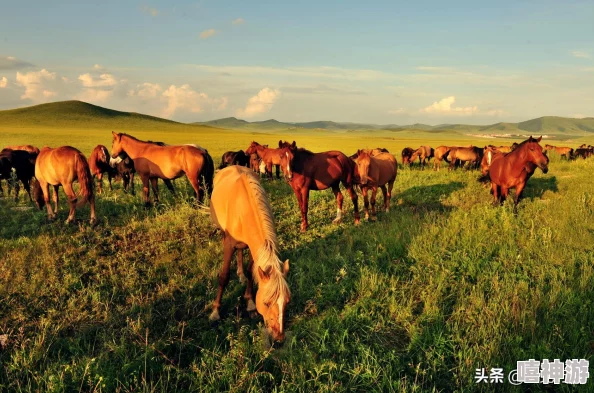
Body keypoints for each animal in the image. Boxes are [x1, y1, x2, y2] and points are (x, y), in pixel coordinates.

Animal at [209, 165, 290, 344]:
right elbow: (224, 276)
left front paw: (250, 304)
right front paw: (215, 312)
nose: (279, 338)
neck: (244, 209)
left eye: (287, 302)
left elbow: (250, 272)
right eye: (266, 303)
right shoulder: (229, 245)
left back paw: (240, 274)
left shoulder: (255, 250)